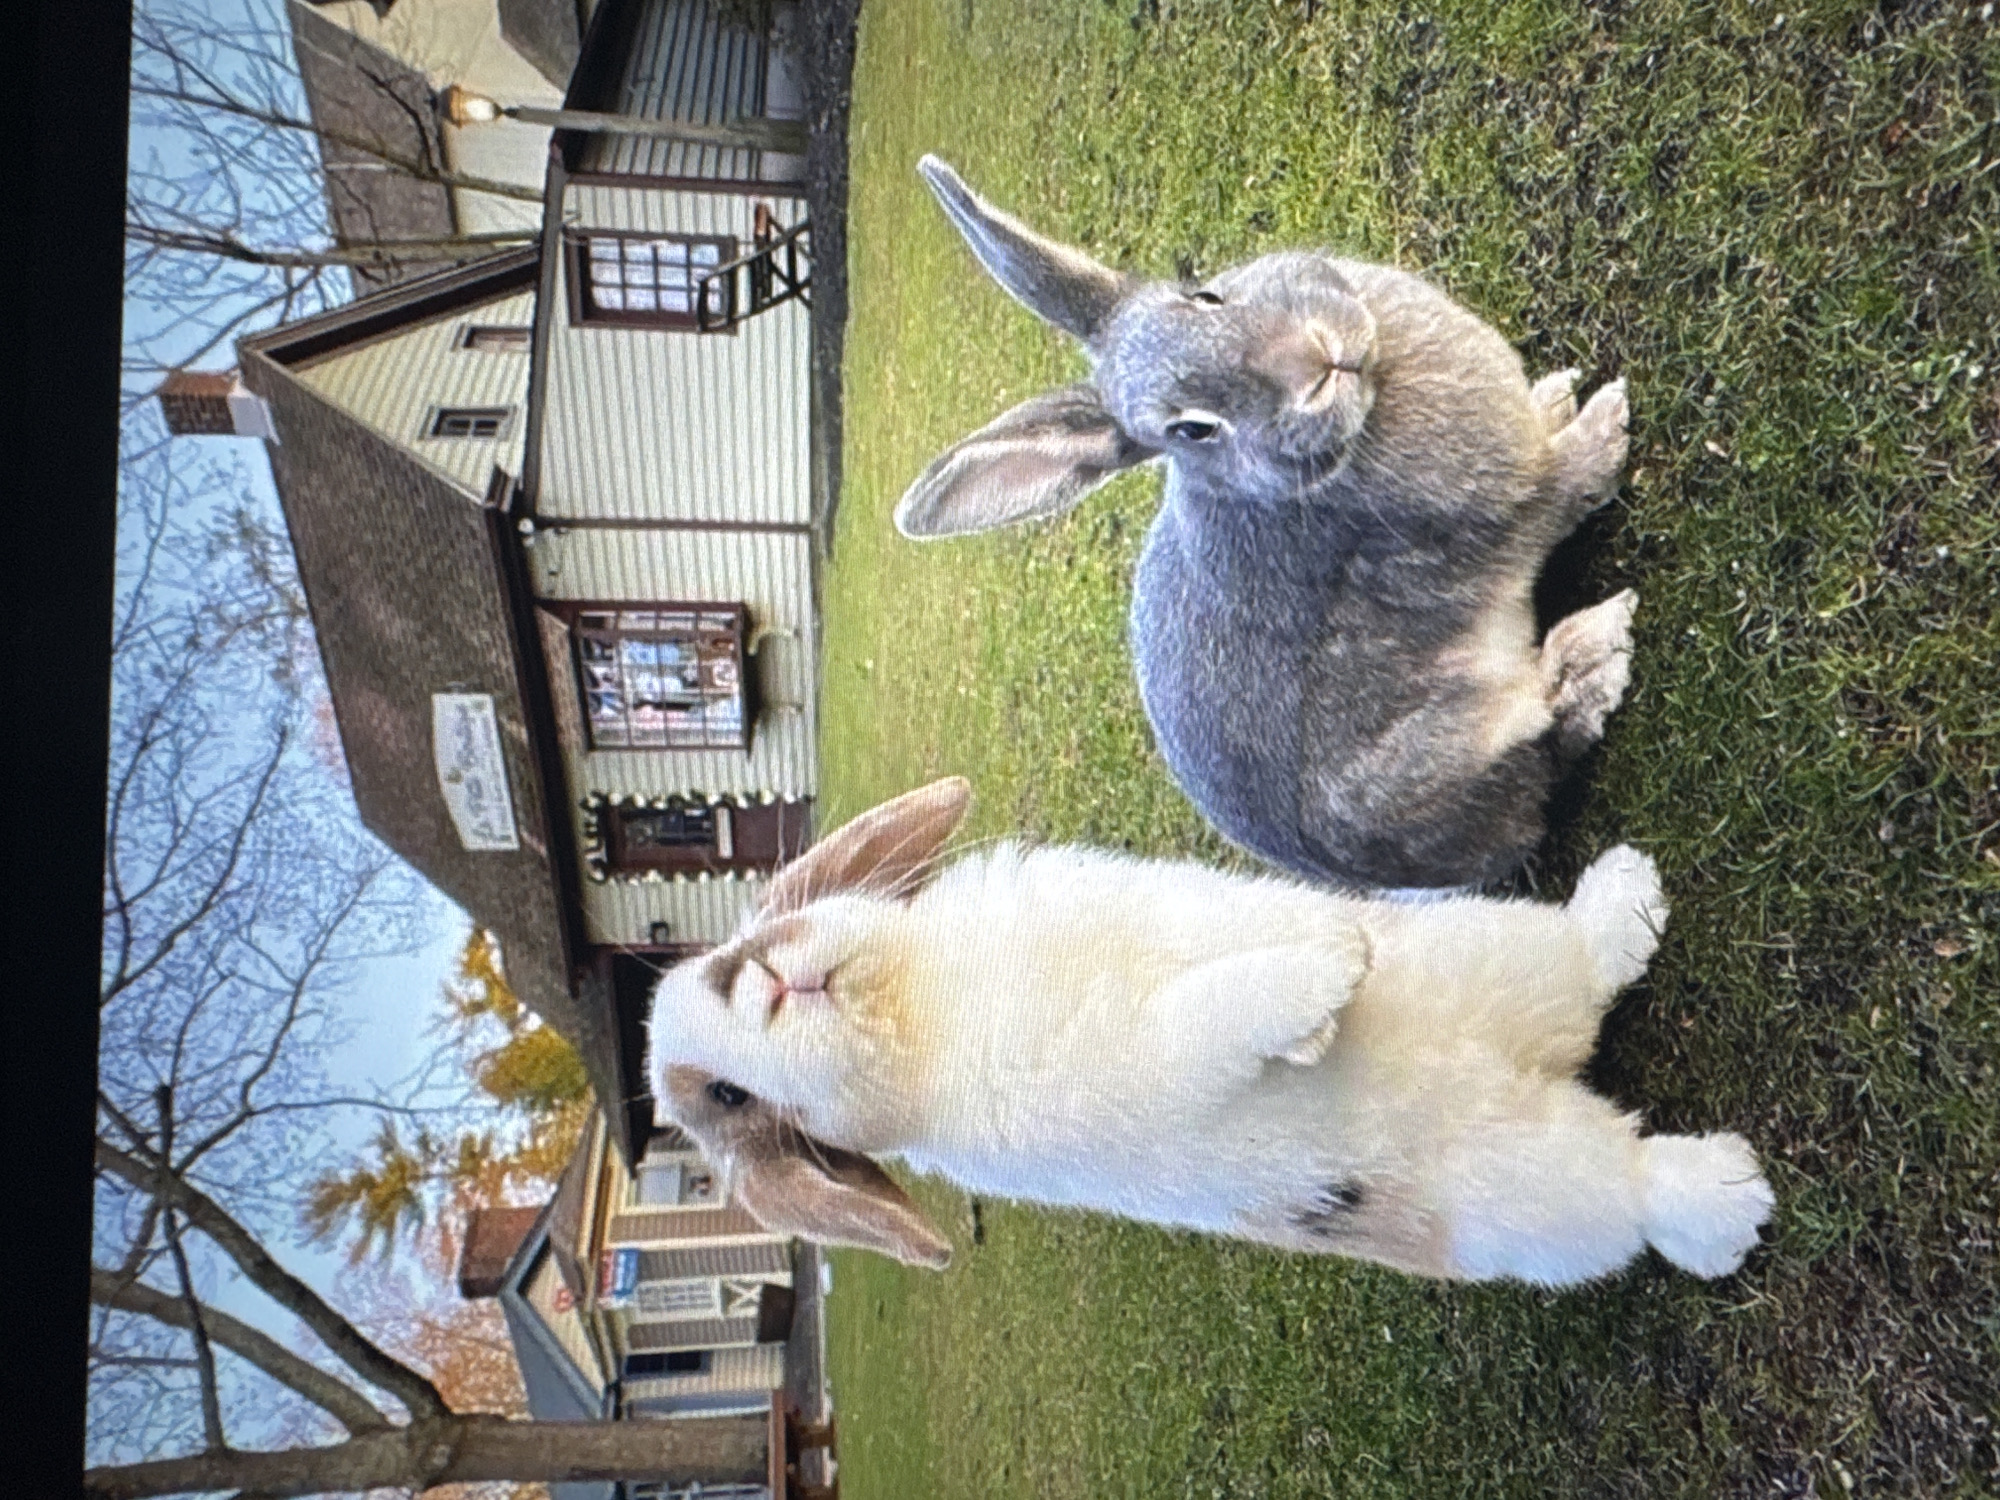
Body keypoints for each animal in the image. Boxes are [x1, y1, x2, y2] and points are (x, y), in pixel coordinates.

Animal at [647, 779, 1774, 1287]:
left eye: (730, 960)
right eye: (728, 1099)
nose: (773, 988)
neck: (926, 1010)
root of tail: (1529, 1065)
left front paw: (1327, 986)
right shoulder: (1148, 1062)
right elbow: (1211, 1013)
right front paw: (1328, 969)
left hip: (1492, 948)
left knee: (1583, 968)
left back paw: (1626, 901)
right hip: (1530, 1190)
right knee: (1633, 1186)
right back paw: (1731, 1202)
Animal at [894, 156, 1640, 891]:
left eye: (1204, 296)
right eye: (1191, 429)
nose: (1312, 361)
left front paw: (1555, 397)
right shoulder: (1504, 510)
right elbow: (1565, 485)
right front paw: (1606, 422)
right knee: (1548, 734)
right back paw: (1595, 653)